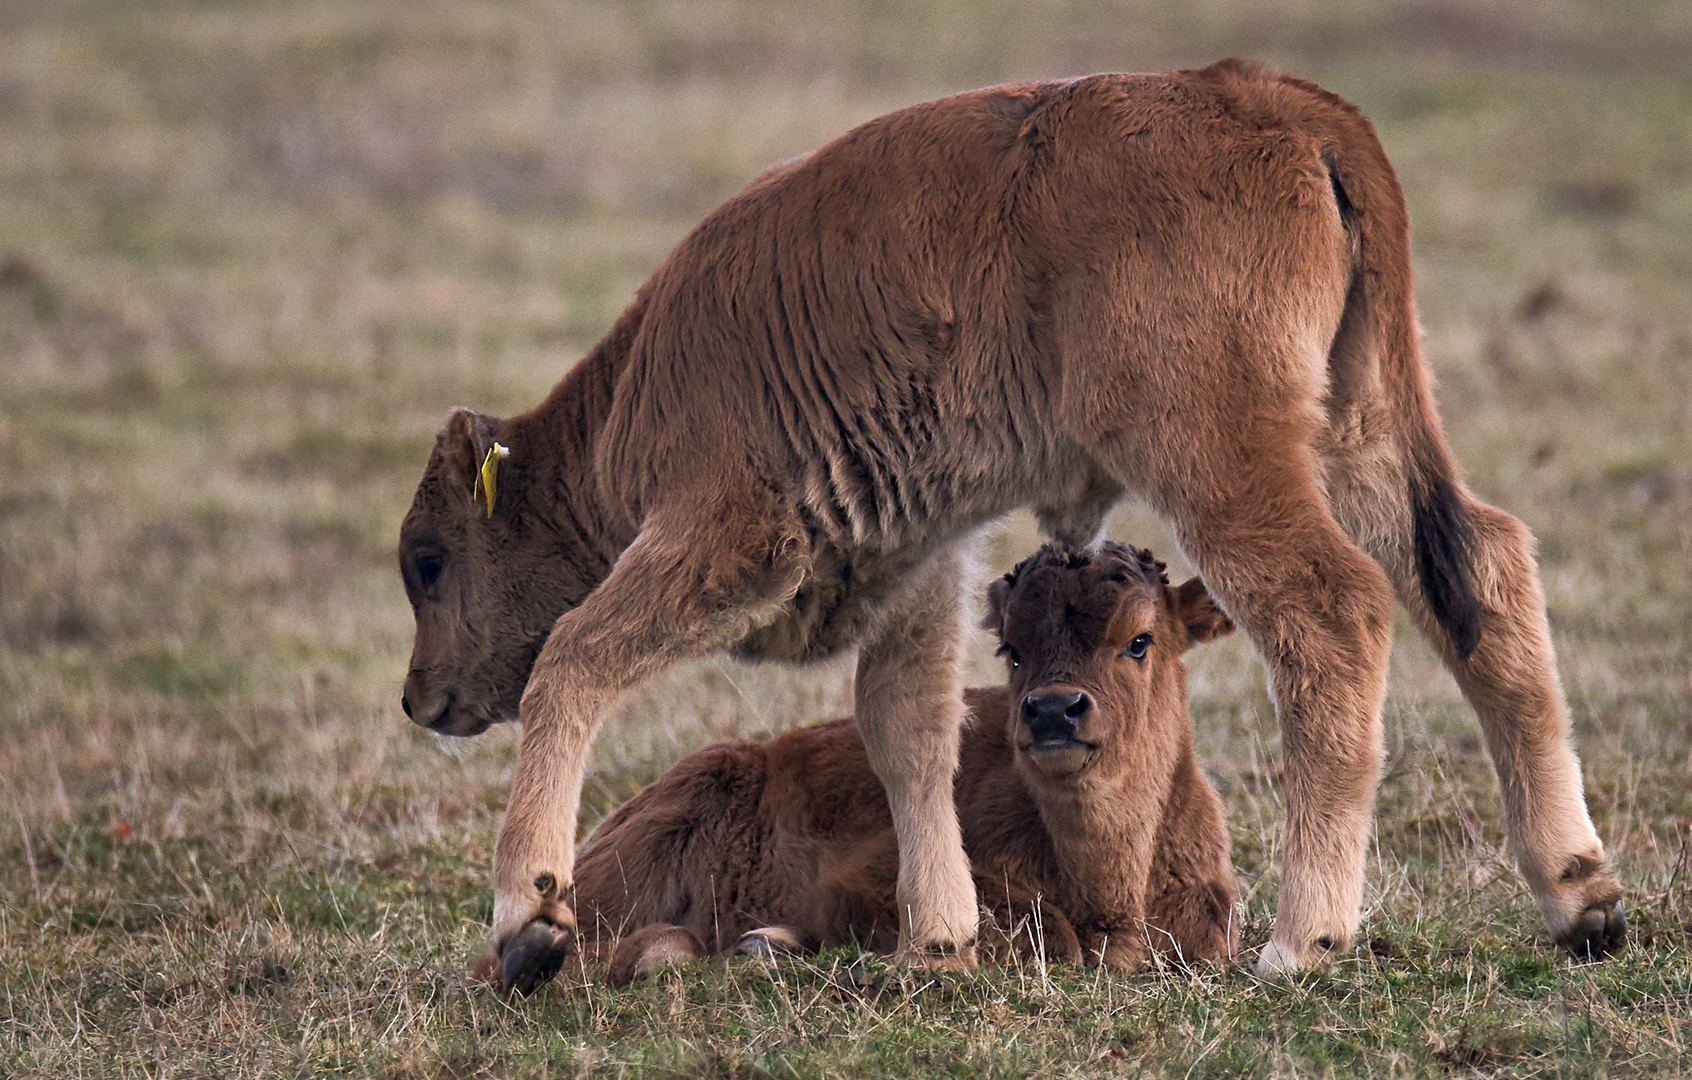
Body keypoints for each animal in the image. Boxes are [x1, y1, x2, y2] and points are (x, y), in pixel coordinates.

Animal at [548, 545, 1238, 988]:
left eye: (1140, 641)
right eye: (1011, 650)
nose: (1052, 711)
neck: (1109, 890)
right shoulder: (866, 883)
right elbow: (1041, 933)